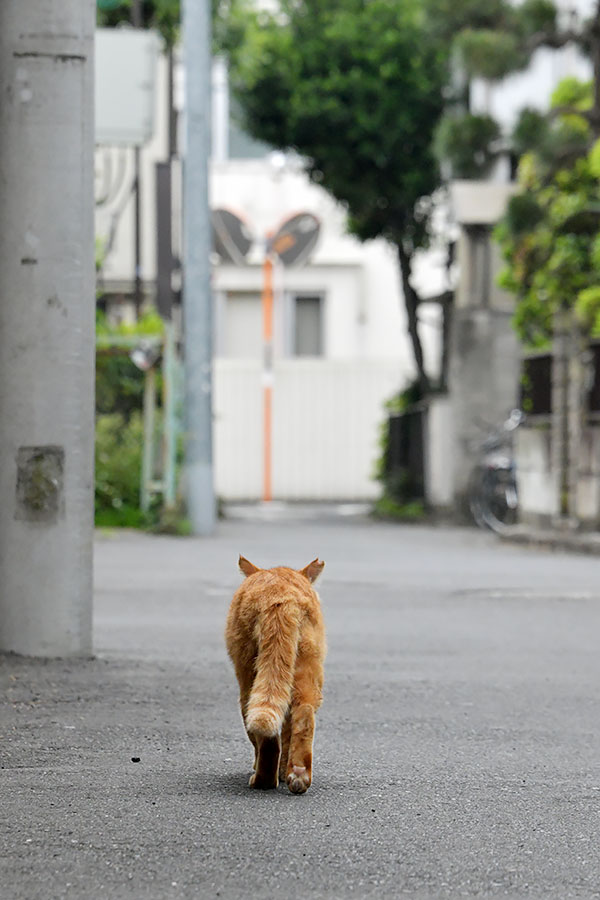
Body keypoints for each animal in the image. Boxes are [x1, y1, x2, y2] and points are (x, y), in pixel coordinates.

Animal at [226, 556, 328, 796]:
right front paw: (284, 773)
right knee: (304, 714)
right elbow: (288, 733)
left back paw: (263, 780)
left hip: (249, 676)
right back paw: (299, 775)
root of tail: (283, 597)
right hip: (306, 671)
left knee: (266, 736)